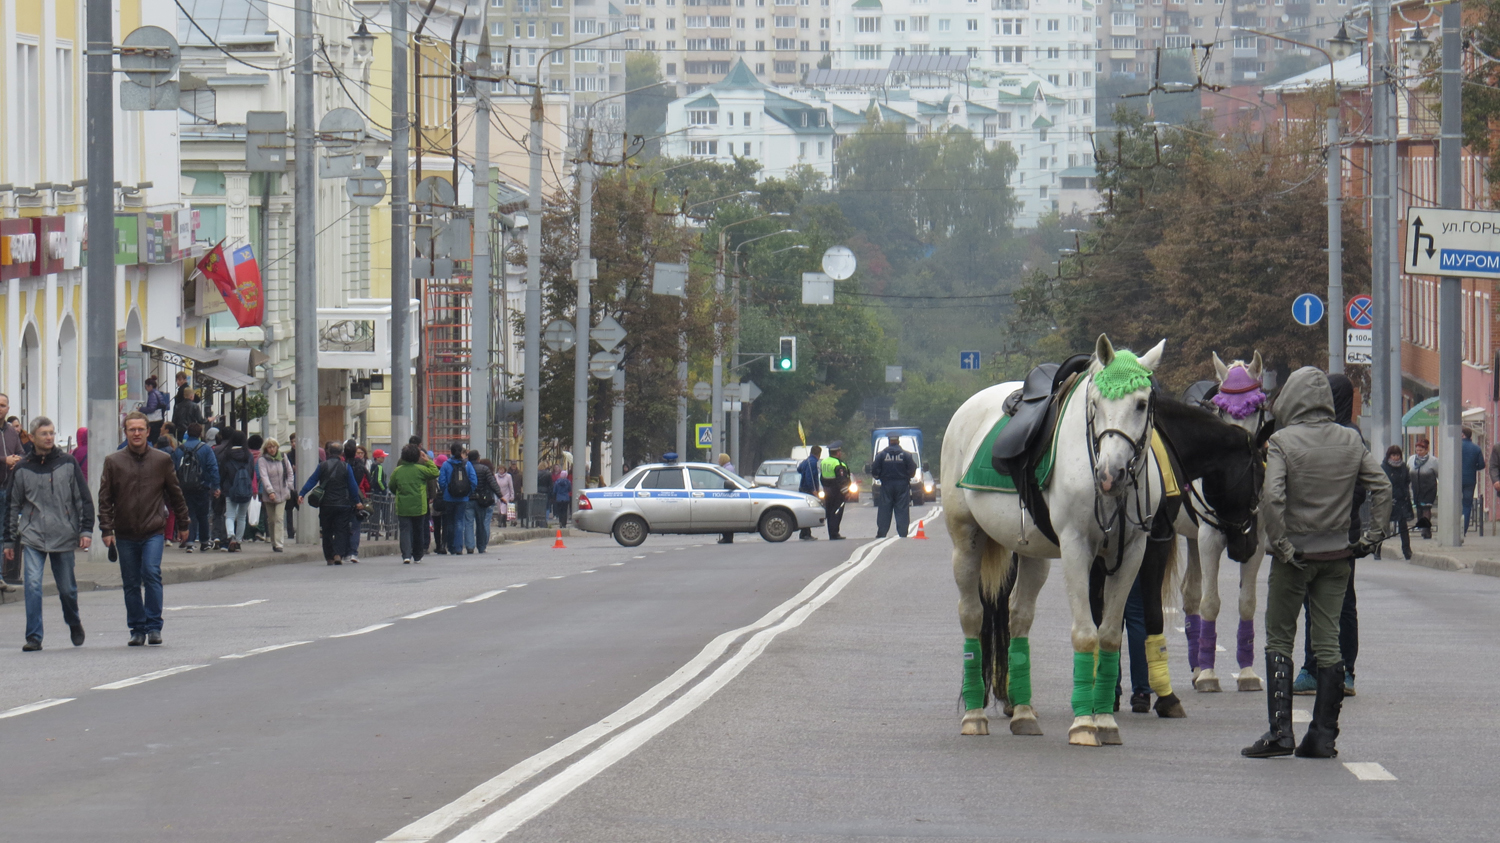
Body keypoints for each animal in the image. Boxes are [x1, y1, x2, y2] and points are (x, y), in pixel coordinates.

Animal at [942, 333, 1164, 741]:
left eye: (1141, 403)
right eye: (1095, 403)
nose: (1110, 474)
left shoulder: (1130, 553)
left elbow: (1109, 635)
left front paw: (1105, 722)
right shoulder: (1076, 549)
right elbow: (1085, 635)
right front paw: (1084, 725)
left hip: (1033, 555)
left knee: (1018, 617)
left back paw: (1023, 714)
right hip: (965, 541)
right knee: (972, 615)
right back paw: (975, 716)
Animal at [1176, 349, 1272, 690]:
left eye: (1256, 406)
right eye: (1222, 408)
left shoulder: (1256, 540)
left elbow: (1248, 602)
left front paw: (1247, 673)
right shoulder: (1210, 538)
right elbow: (1211, 602)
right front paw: (1208, 674)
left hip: (1193, 538)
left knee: (1190, 592)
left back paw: (1194, 667)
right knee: (1195, 596)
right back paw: (1198, 669)